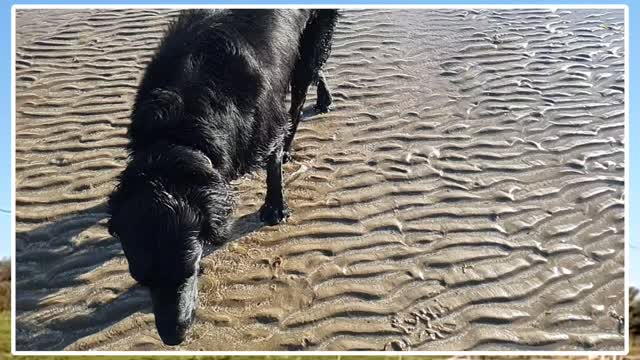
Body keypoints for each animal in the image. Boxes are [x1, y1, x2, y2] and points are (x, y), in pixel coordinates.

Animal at [109, 9, 340, 346]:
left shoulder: (266, 126)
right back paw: (324, 97)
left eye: (190, 268)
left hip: (309, 42)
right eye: (140, 279)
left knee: (300, 95)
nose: (172, 337)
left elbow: (273, 165)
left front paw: (275, 208)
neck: (178, 133)